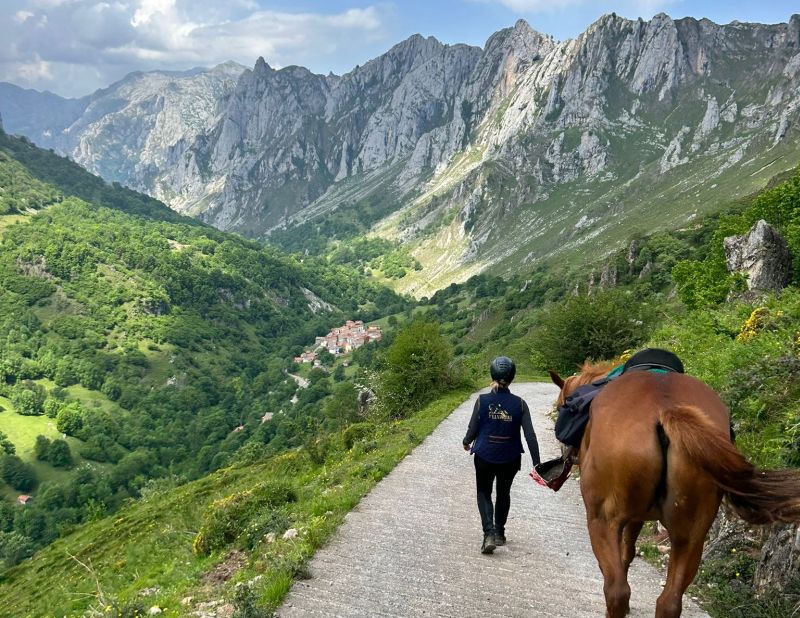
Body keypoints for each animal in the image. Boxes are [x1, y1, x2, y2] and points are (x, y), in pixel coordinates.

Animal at [552, 360, 800, 616]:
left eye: (561, 406)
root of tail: (666, 410)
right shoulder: (639, 518)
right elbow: (628, 551)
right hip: (690, 537)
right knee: (669, 602)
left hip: (602, 520)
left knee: (617, 591)